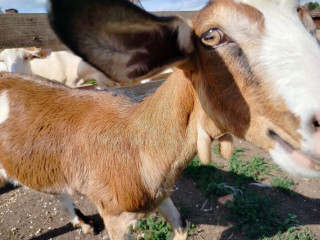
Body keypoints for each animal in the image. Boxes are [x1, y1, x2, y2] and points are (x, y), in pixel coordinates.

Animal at [0, 0, 320, 239]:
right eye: (211, 36)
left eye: (309, 25)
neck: (139, 143)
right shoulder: (115, 217)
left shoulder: (163, 198)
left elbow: (181, 225)